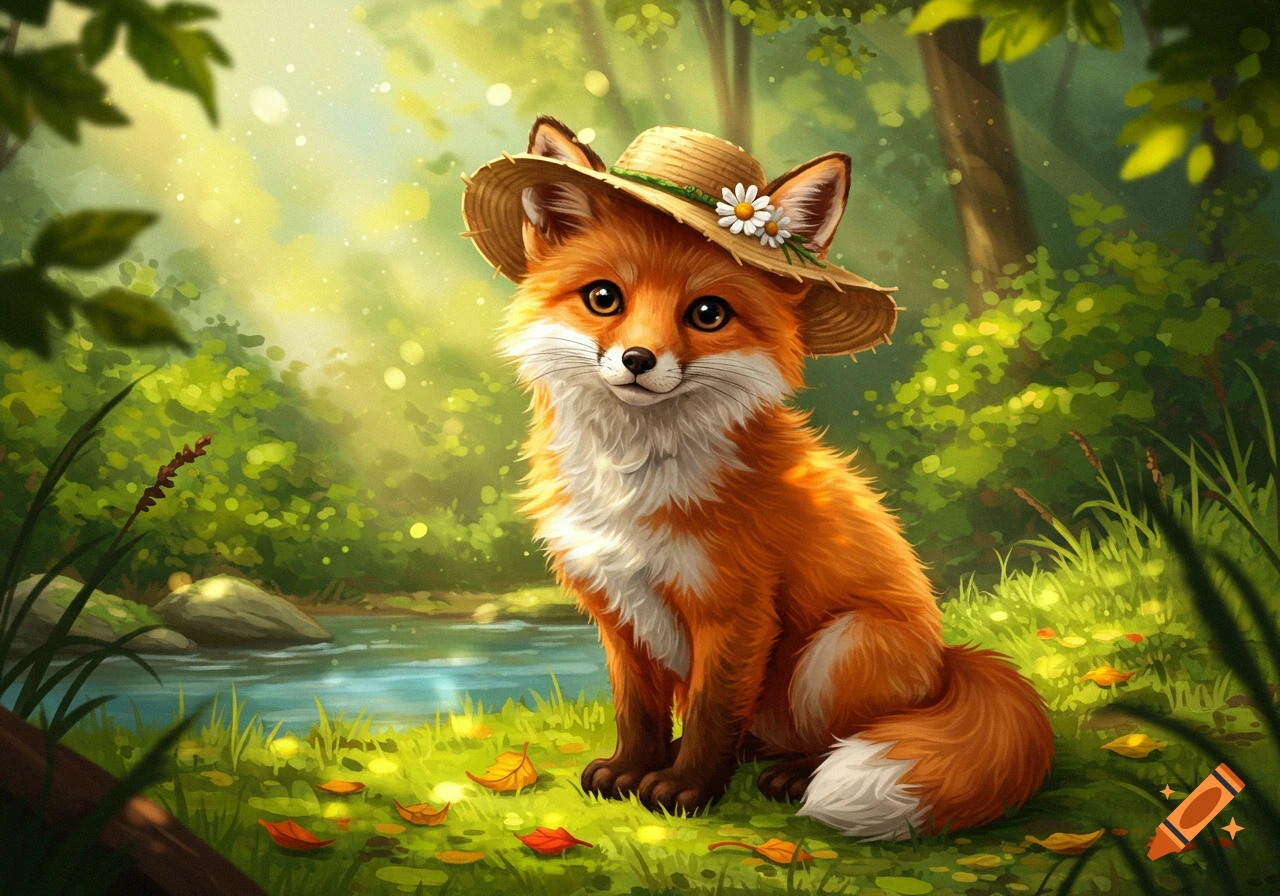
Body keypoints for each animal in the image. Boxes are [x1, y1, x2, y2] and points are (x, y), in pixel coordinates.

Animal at [490, 116, 1054, 839]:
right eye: (603, 298)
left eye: (707, 314)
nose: (638, 360)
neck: (635, 478)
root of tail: (947, 662)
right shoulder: (617, 609)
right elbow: (638, 712)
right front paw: (631, 770)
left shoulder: (736, 611)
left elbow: (709, 715)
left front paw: (684, 789)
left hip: (837, 650)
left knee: (833, 738)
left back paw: (794, 775)